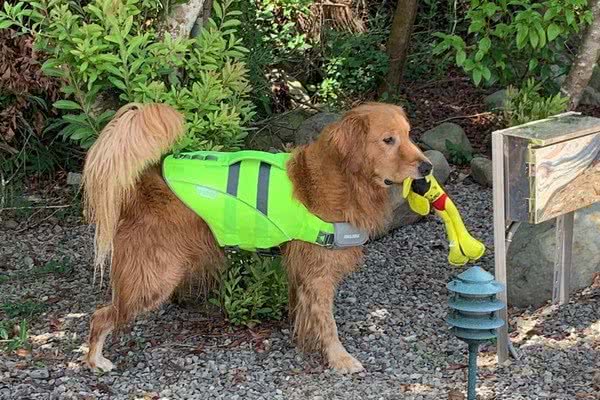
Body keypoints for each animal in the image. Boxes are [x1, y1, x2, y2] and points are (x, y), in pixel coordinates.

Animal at [83, 101, 432, 374]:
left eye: (408, 134)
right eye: (388, 140)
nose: (427, 167)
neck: (343, 179)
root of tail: (143, 183)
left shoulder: (301, 269)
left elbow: (303, 311)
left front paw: (302, 339)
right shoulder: (318, 272)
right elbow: (328, 323)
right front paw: (340, 359)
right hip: (155, 277)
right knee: (101, 316)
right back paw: (95, 360)